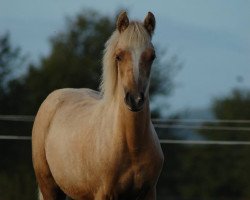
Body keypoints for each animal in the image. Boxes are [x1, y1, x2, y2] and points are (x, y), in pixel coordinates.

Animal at [31, 11, 164, 200]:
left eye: (152, 56)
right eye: (118, 56)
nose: (135, 99)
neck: (132, 145)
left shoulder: (149, 192)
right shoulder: (104, 194)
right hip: (49, 187)